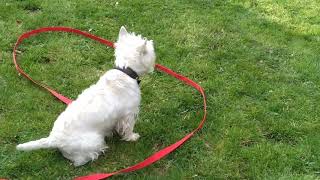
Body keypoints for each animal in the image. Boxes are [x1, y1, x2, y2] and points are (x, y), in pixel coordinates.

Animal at [16, 26, 157, 166]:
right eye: (151, 49)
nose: (153, 44)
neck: (126, 70)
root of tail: (54, 139)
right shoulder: (129, 114)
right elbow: (128, 128)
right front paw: (132, 137)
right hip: (94, 141)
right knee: (80, 160)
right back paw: (100, 150)